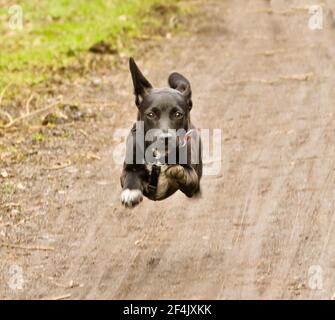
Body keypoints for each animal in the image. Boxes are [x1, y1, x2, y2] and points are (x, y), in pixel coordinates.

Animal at [121, 57, 203, 208]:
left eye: (177, 114)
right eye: (151, 114)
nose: (165, 138)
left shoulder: (192, 177)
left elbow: (187, 175)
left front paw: (177, 172)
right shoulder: (127, 169)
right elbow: (131, 174)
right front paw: (131, 191)